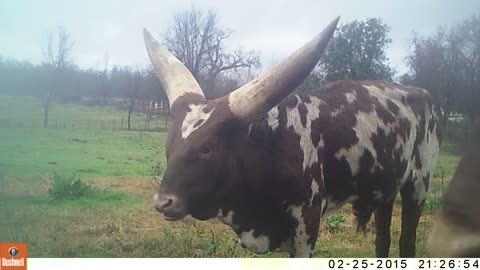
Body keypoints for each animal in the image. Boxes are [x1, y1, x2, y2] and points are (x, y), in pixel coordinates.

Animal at [144, 16, 440, 258]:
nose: (162, 202)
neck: (271, 144)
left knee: (407, 242)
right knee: (382, 239)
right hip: (387, 190)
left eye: (207, 148)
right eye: (169, 143)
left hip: (418, 185)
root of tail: (421, 93)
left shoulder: (306, 230)